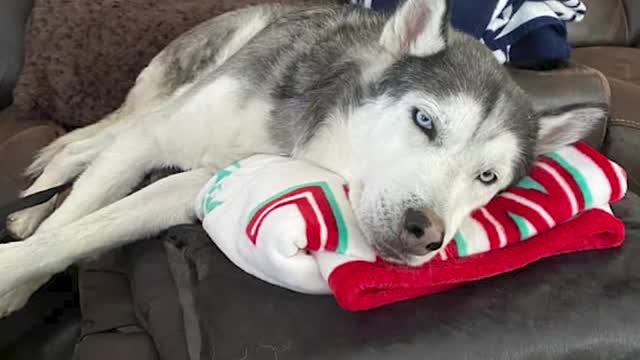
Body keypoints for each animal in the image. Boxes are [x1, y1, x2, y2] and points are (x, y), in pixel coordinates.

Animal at [2, 0, 600, 316]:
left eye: (487, 177)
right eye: (425, 121)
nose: (425, 232)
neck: (303, 136)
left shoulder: (193, 184)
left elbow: (85, 230)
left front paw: (21, 276)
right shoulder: (153, 141)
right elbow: (65, 228)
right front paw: (19, 266)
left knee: (88, 148)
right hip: (174, 90)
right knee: (85, 145)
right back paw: (33, 204)